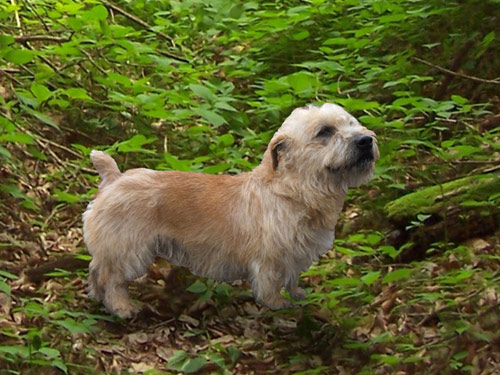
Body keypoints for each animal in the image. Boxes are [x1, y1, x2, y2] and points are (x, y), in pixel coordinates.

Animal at [83, 103, 378, 318]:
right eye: (324, 132)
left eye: (352, 123)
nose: (366, 140)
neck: (292, 190)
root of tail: (115, 178)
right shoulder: (271, 258)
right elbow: (271, 283)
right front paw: (277, 303)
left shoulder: (295, 254)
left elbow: (292, 278)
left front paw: (297, 294)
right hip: (127, 250)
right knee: (112, 279)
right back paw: (122, 307)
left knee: (96, 270)